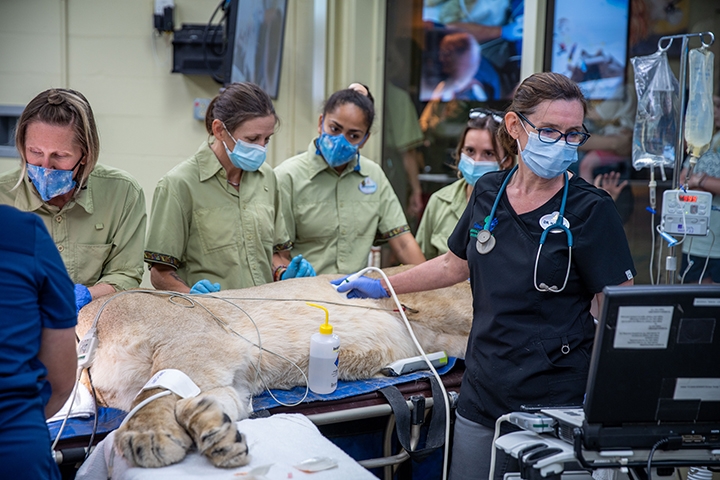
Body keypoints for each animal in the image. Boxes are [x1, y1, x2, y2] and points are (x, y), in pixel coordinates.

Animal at [76, 270, 472, 469]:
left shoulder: (196, 341)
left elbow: (154, 392)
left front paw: (146, 436)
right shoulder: (226, 378)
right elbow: (204, 398)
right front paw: (217, 432)